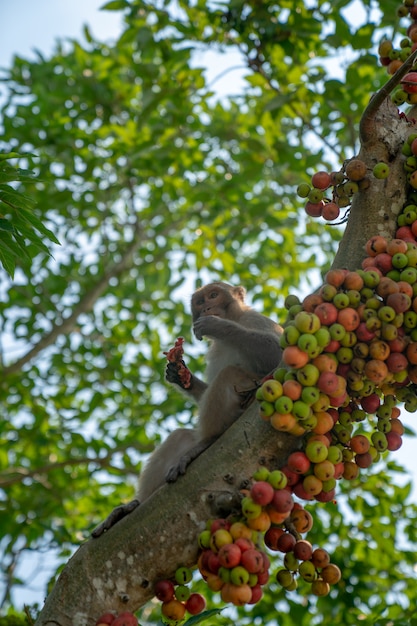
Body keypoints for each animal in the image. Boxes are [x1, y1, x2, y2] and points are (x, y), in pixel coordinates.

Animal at [91, 280, 280, 532]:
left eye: (213, 295)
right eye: (200, 301)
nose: (207, 308)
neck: (236, 318)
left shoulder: (256, 320)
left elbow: (277, 354)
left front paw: (217, 326)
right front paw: (180, 376)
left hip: (245, 400)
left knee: (229, 374)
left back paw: (207, 441)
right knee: (179, 436)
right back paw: (130, 507)